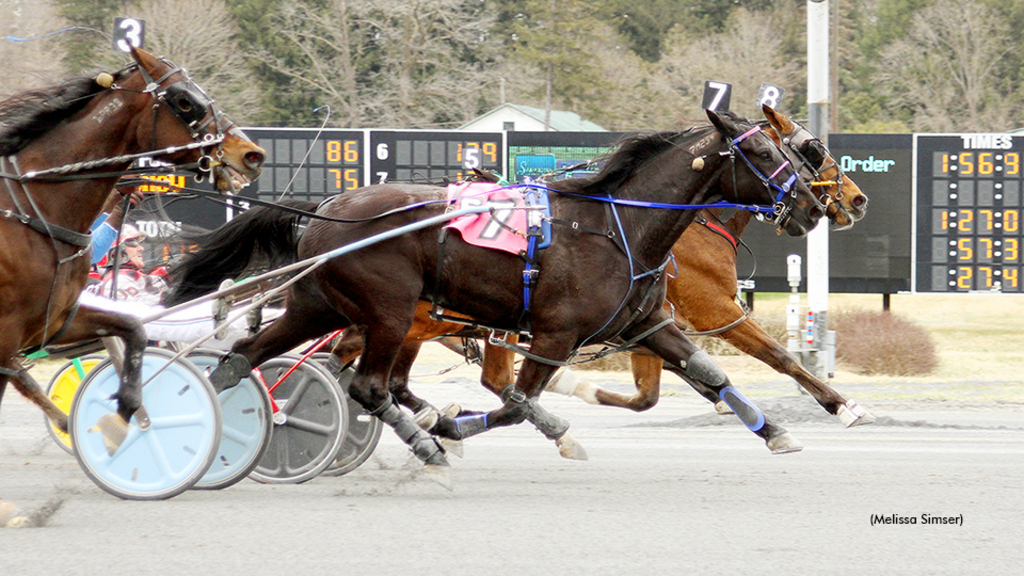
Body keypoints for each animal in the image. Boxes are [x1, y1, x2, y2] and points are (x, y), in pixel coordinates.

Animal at [1, 48, 264, 453]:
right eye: (185, 101)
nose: (252, 154)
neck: (32, 209)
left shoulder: (58, 319)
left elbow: (135, 331)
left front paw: (125, 415)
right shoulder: (6, 337)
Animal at [167, 108, 823, 479]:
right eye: (759, 150)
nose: (811, 206)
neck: (617, 226)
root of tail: (327, 207)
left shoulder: (644, 323)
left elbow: (711, 374)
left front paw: (778, 432)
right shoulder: (555, 333)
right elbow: (515, 403)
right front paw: (460, 427)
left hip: (319, 304)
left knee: (244, 360)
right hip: (390, 311)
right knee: (367, 385)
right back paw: (424, 442)